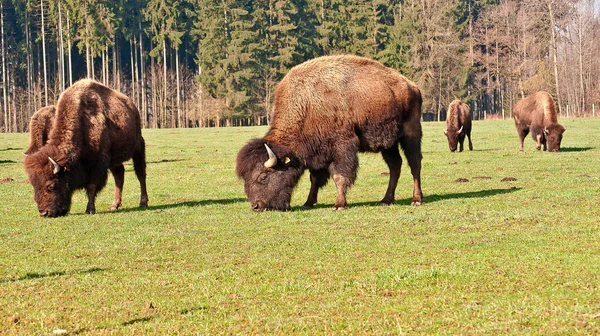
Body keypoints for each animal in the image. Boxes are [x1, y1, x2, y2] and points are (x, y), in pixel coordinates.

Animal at [24, 79, 149, 217]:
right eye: (34, 184)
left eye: (52, 185)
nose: (44, 212)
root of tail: (132, 106)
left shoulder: (97, 164)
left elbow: (91, 186)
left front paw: (90, 209)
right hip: (114, 159)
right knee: (119, 175)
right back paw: (114, 205)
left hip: (138, 147)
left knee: (140, 173)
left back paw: (143, 202)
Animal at [234, 55, 422, 213]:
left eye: (263, 177)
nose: (256, 206)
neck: (307, 105)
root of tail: (412, 86)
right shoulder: (317, 153)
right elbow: (315, 178)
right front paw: (308, 203)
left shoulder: (342, 148)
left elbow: (339, 176)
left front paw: (339, 205)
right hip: (388, 143)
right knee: (395, 166)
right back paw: (386, 200)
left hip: (410, 134)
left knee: (414, 164)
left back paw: (416, 200)